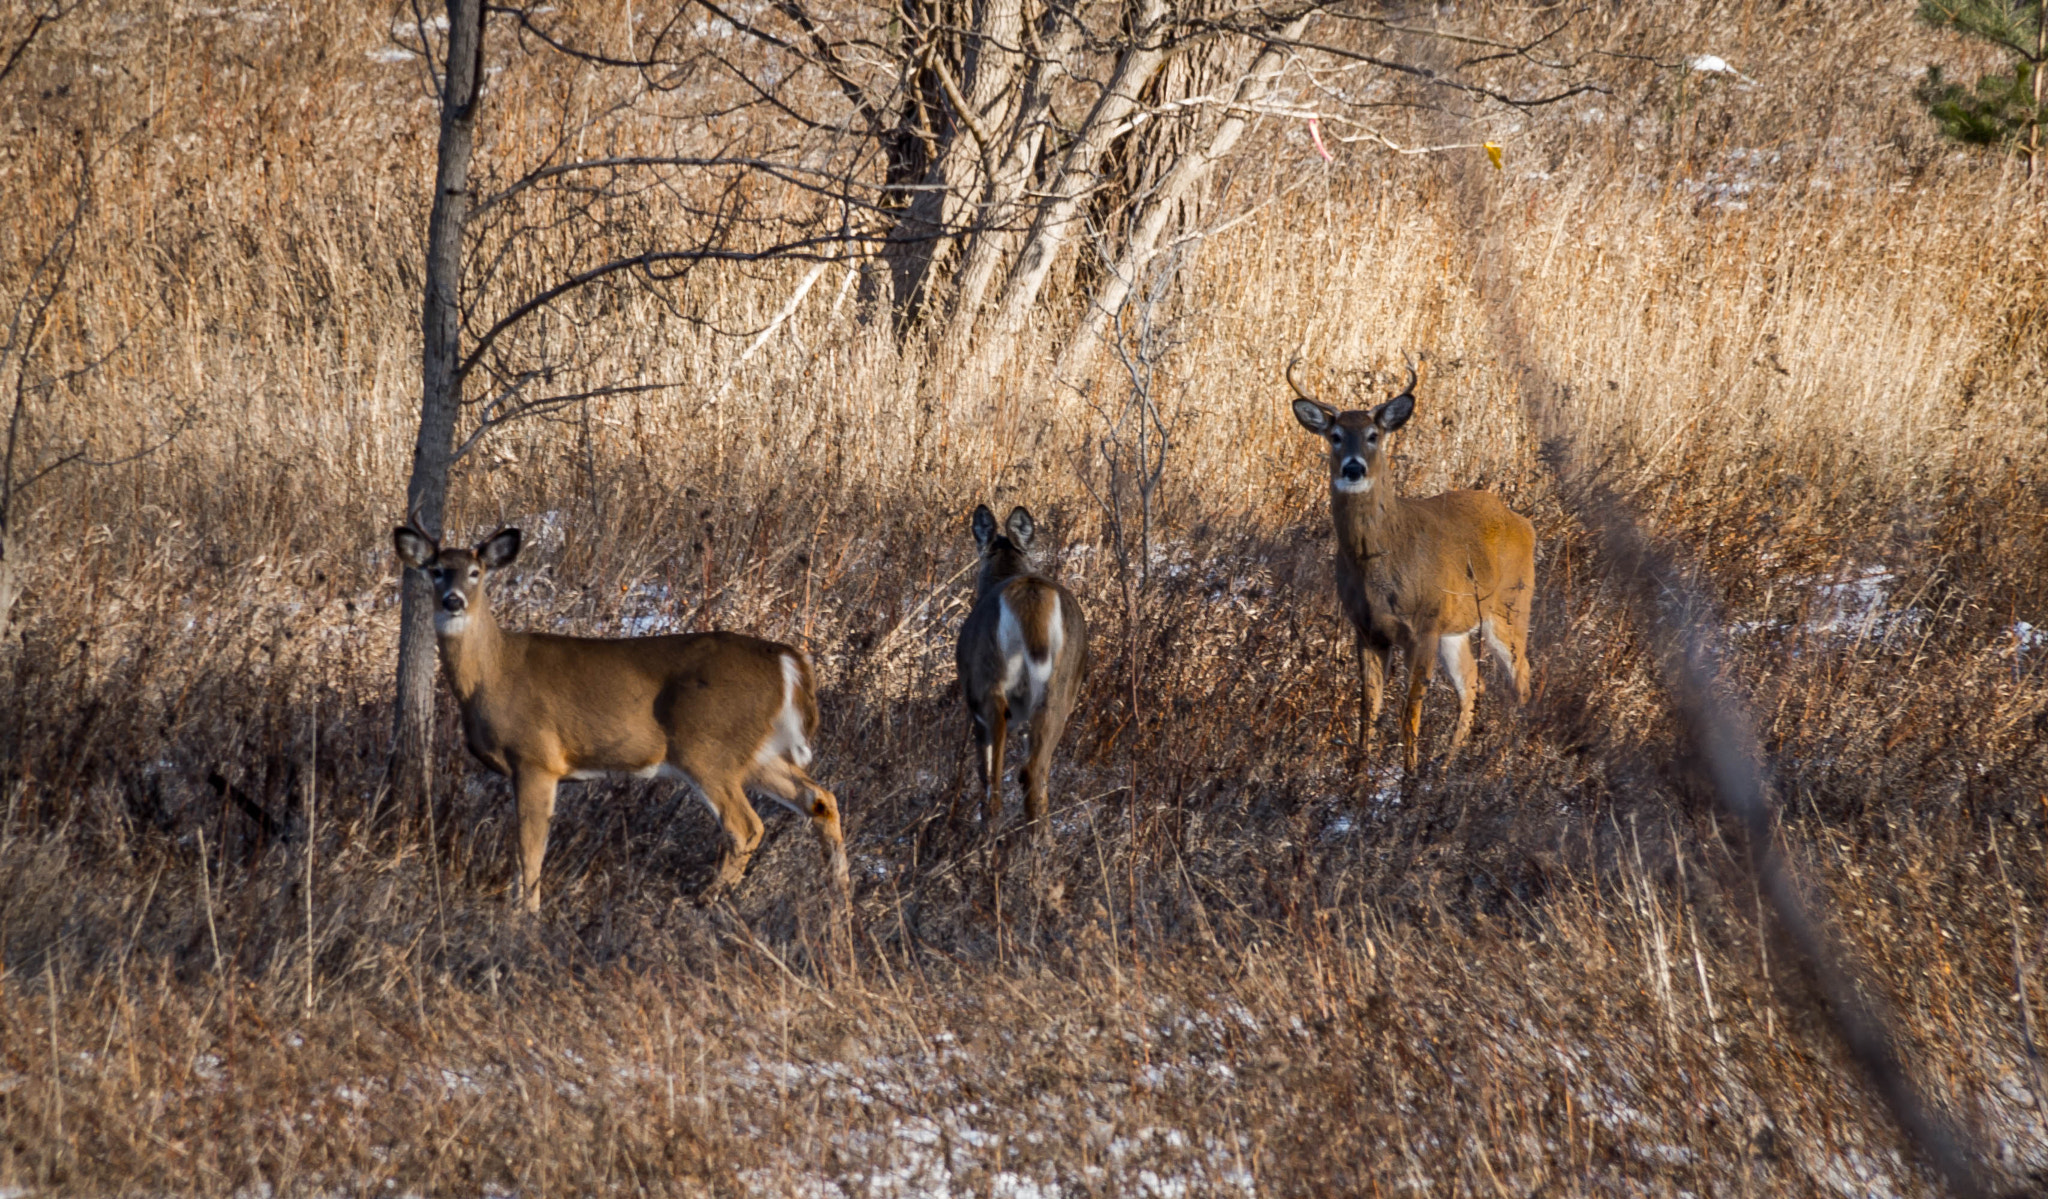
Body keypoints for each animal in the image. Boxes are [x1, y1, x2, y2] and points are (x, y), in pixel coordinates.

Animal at [387, 520, 843, 905]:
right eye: (436, 570)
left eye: (475, 572)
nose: (454, 601)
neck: (493, 673)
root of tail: (787, 660)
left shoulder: (536, 757)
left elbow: (530, 850)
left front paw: (522, 919)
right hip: (756, 751)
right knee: (820, 798)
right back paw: (838, 904)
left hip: (708, 745)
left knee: (745, 826)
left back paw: (704, 903)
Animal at [1286, 350, 1531, 770]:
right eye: (1335, 436)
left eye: (1374, 435)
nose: (1354, 468)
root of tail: (1524, 522)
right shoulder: (1367, 630)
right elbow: (1368, 713)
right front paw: (1360, 780)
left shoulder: (1424, 625)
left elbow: (1408, 714)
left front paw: (1409, 779)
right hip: (1458, 628)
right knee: (1474, 685)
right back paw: (1448, 766)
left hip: (1510, 608)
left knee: (1524, 678)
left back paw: (1501, 762)